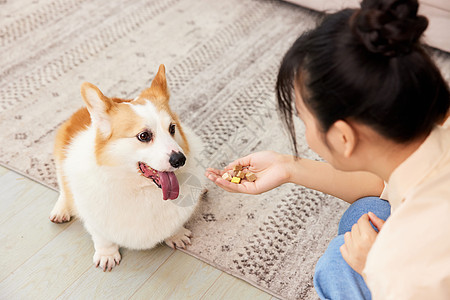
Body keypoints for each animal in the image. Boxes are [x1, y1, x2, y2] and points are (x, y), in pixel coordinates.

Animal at [50, 65, 203, 272]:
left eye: (172, 128)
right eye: (144, 136)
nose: (180, 159)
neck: (140, 188)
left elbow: (173, 225)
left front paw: (176, 235)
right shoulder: (95, 220)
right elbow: (102, 237)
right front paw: (107, 255)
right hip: (60, 162)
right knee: (64, 189)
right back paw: (61, 210)